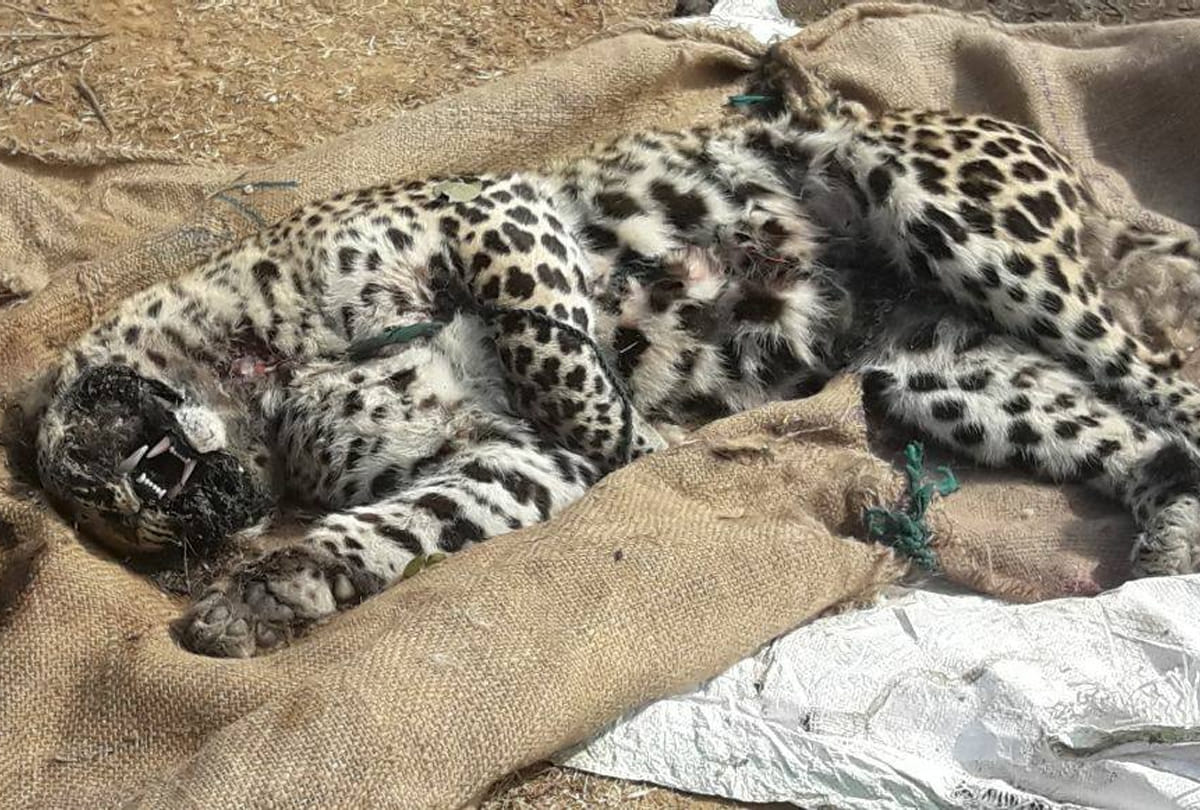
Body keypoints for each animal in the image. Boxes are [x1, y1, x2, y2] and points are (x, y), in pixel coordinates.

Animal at [33, 79, 1200, 658]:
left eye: (153, 477)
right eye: (156, 520)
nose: (220, 517)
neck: (267, 386)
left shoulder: (495, 212)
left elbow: (558, 359)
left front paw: (647, 440)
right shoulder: (507, 456)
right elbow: (412, 523)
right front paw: (274, 593)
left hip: (949, 215)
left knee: (1162, 377)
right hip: (949, 380)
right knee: (1132, 433)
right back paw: (1172, 532)